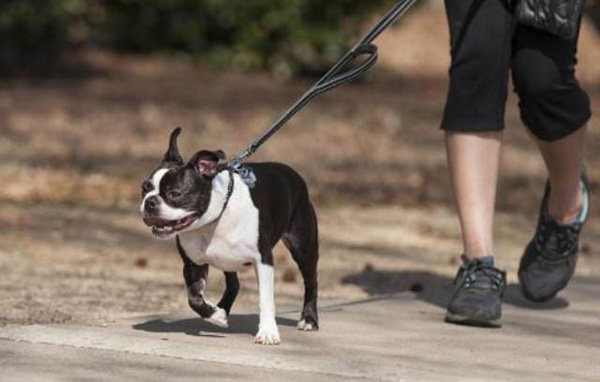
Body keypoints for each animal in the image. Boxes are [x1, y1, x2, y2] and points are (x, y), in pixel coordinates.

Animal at [139, 128, 318, 346]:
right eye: (144, 189)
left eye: (175, 193)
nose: (150, 202)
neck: (213, 220)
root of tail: (293, 174)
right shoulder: (193, 264)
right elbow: (194, 298)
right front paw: (215, 315)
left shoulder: (263, 260)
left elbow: (266, 299)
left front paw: (268, 332)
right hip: (227, 260)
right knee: (234, 284)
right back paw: (221, 310)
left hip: (303, 247)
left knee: (311, 281)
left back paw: (309, 319)